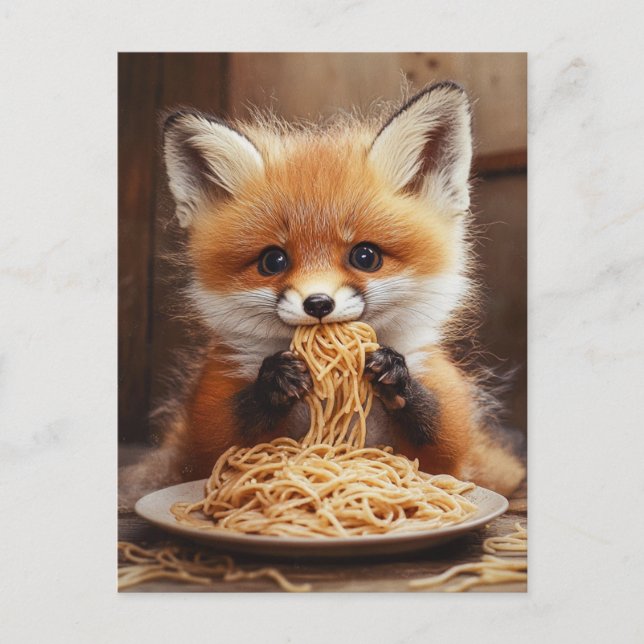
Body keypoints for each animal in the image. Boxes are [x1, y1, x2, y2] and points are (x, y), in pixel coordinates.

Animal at [119, 81, 526, 508]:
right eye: (273, 261)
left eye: (365, 256)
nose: (317, 304)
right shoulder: (208, 413)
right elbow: (221, 444)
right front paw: (275, 380)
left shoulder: (448, 422)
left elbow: (441, 443)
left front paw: (394, 373)